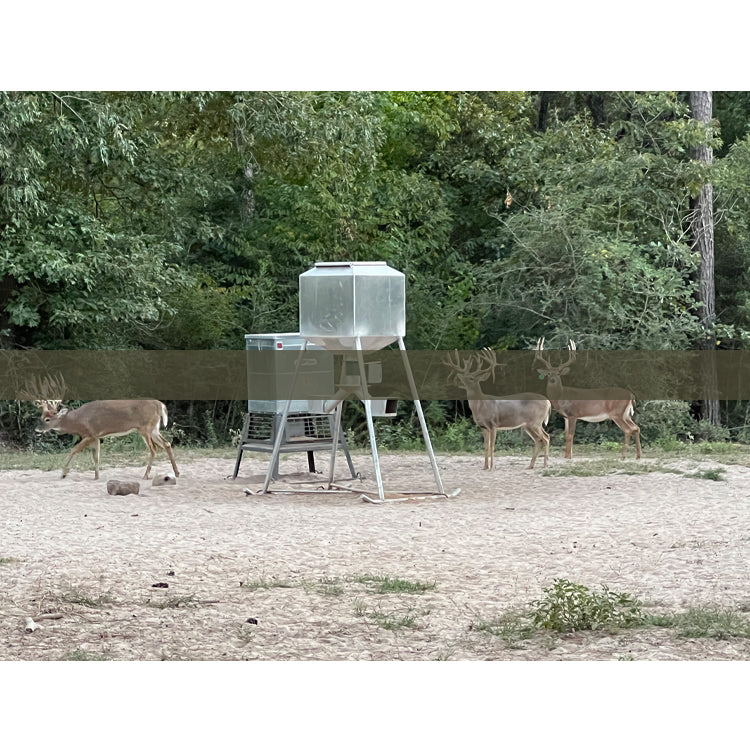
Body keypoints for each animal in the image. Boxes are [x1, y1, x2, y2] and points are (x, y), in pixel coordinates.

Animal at [20, 375, 180, 480]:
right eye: (41, 417)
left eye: (47, 419)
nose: (37, 429)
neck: (78, 421)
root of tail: (160, 404)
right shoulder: (97, 436)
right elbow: (96, 456)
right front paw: (96, 476)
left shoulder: (89, 433)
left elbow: (74, 450)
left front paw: (63, 473)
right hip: (154, 428)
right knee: (166, 443)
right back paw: (177, 473)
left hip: (145, 428)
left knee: (154, 449)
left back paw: (145, 475)